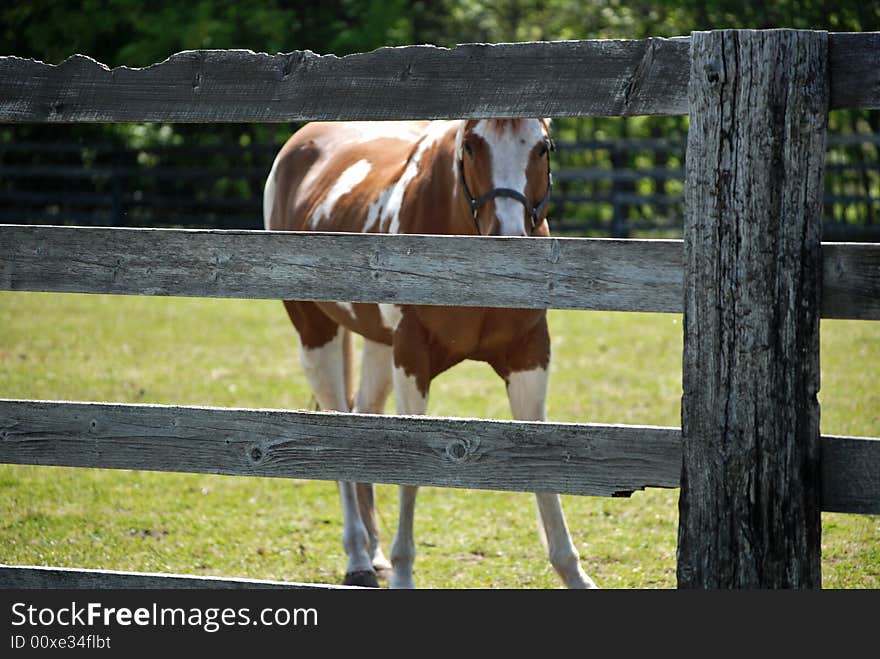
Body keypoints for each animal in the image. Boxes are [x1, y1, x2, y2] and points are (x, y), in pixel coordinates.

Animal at [264, 117, 596, 588]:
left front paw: (574, 574)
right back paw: (358, 557)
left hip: (377, 346)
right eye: (471, 146)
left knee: (362, 417)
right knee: (336, 420)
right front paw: (404, 572)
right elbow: (411, 472)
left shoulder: (529, 357)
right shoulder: (412, 359)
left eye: (542, 147)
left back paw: (374, 552)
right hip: (316, 333)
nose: (508, 237)